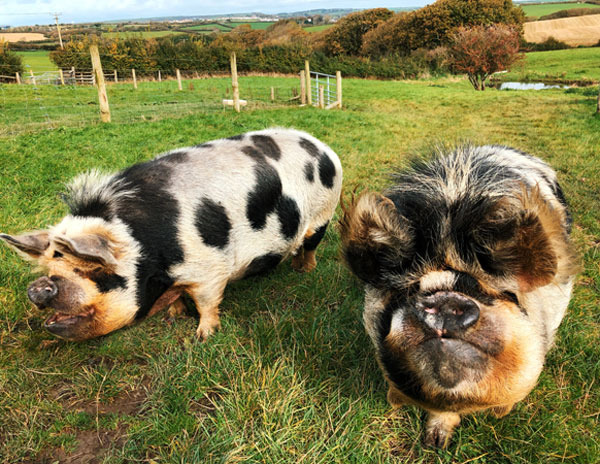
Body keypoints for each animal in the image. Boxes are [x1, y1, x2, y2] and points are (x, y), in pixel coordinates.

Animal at [2, 127, 342, 340]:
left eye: (92, 269)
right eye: (50, 265)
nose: (38, 287)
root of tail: (322, 146)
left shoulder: (210, 270)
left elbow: (207, 303)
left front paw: (203, 336)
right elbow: (179, 299)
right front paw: (174, 315)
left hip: (324, 213)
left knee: (311, 244)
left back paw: (304, 271)